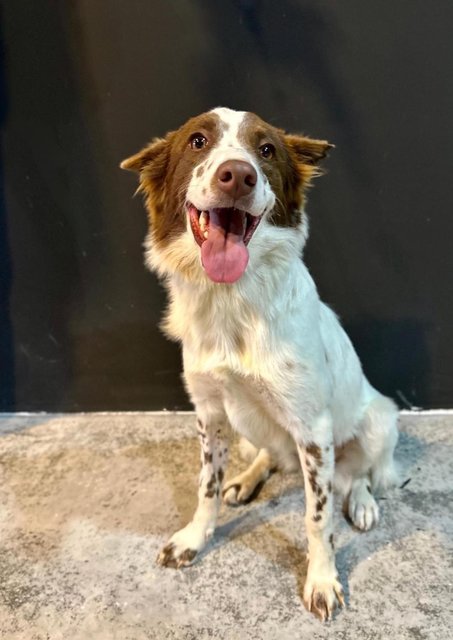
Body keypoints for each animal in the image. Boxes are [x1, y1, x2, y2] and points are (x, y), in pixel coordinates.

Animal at [121, 109, 400, 620]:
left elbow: (317, 517)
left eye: (267, 149)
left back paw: (363, 503)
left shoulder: (313, 429)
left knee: (360, 473)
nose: (237, 175)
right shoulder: (209, 412)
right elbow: (206, 487)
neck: (233, 300)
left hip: (379, 419)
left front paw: (322, 580)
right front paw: (195, 538)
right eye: (197, 141)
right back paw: (247, 479)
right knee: (270, 453)